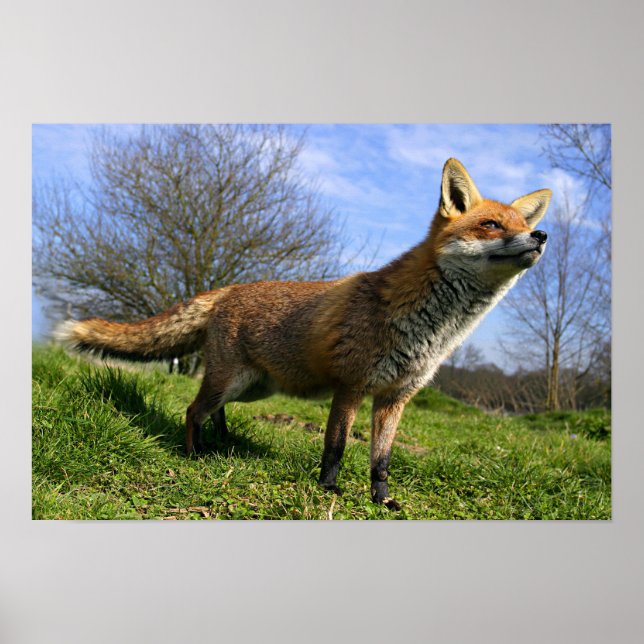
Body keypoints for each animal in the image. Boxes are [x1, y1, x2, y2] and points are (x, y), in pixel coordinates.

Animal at [55, 158, 551, 509]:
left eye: (524, 226)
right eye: (491, 225)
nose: (542, 236)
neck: (431, 330)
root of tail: (230, 288)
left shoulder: (395, 398)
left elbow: (381, 460)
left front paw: (381, 500)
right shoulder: (352, 386)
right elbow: (335, 447)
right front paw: (328, 490)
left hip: (252, 388)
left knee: (213, 411)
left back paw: (223, 444)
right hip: (232, 381)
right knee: (192, 410)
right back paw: (195, 454)